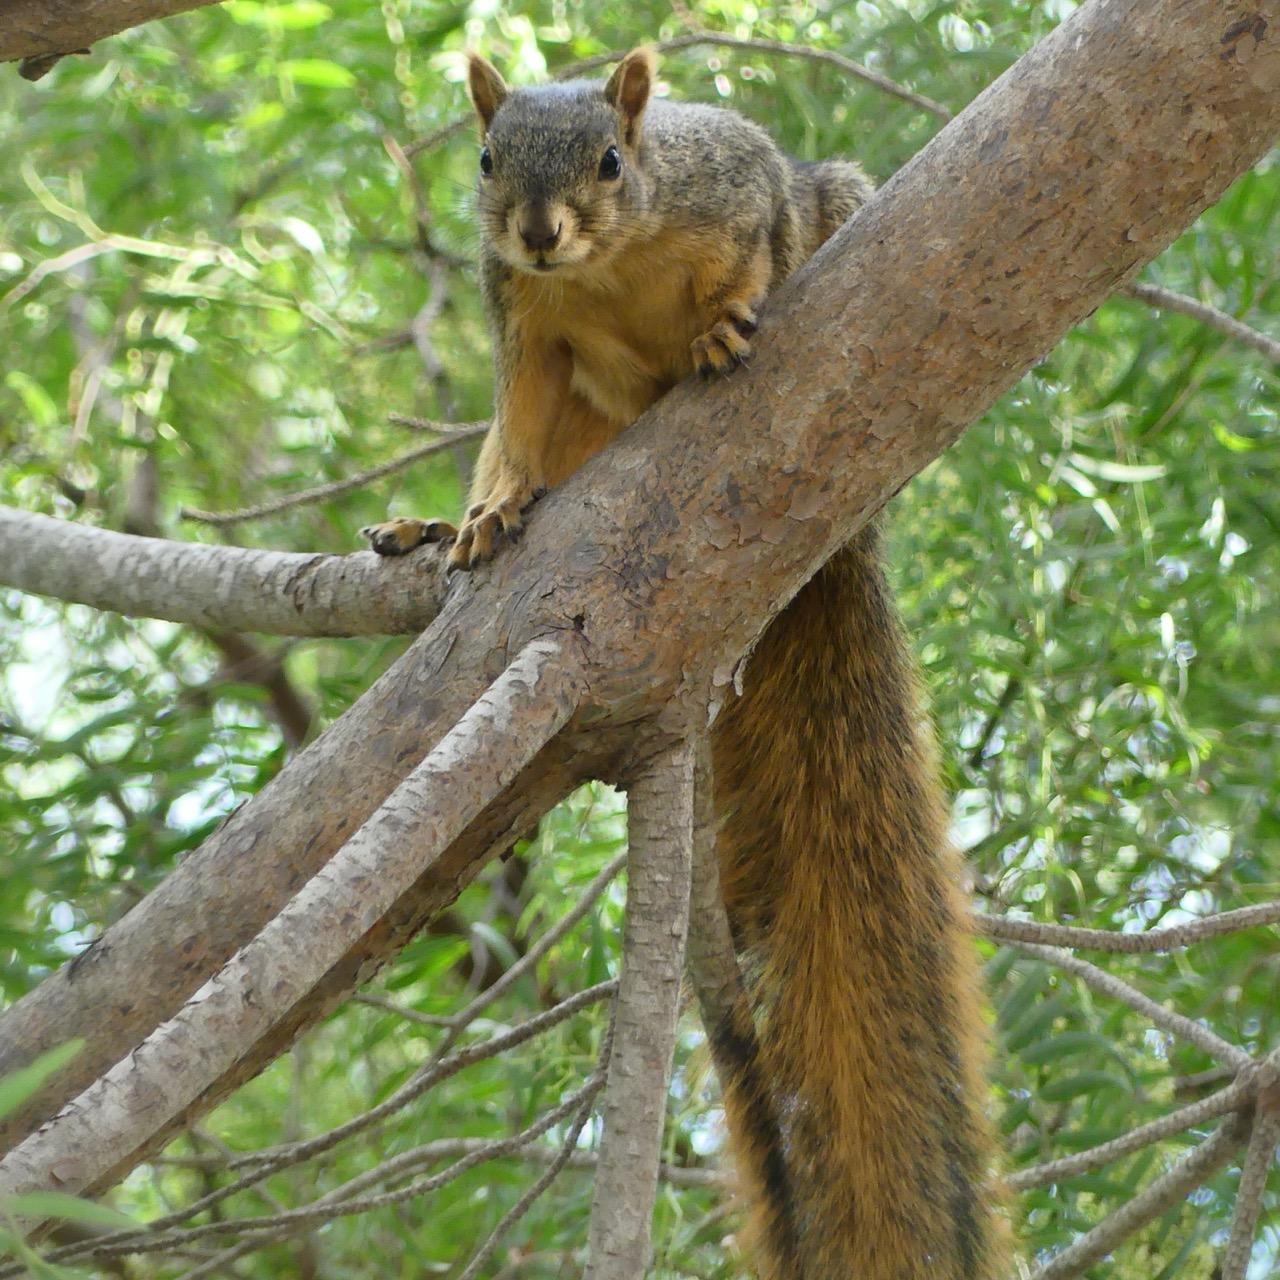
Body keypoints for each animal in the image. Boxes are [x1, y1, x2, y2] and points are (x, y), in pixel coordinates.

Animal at [363, 46, 1004, 1280]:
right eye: (484, 160)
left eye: (614, 160)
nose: (537, 233)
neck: (606, 265)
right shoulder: (525, 324)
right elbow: (516, 418)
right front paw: (490, 509)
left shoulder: (734, 188)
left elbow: (752, 249)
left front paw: (716, 326)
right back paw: (440, 526)